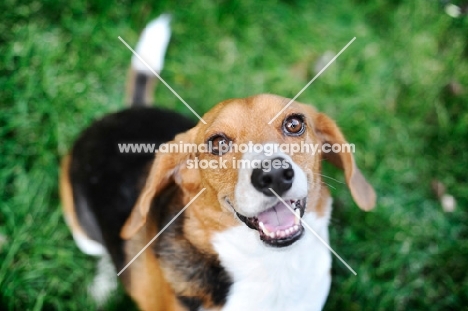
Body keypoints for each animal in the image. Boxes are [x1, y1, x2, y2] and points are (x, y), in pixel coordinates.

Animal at [59, 14, 376, 311]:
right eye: (217, 143)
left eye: (294, 124)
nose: (273, 175)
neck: (274, 267)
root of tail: (127, 112)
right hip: (82, 230)